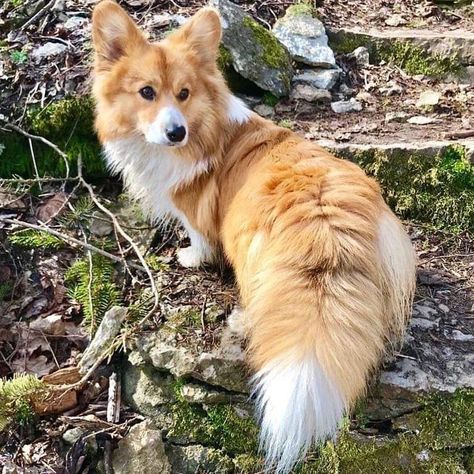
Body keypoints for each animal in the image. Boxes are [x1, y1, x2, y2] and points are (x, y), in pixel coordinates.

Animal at [91, 1, 414, 472]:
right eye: (146, 92)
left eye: (183, 94)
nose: (176, 132)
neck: (203, 128)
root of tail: (326, 224)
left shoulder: (195, 213)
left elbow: (199, 239)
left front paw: (190, 258)